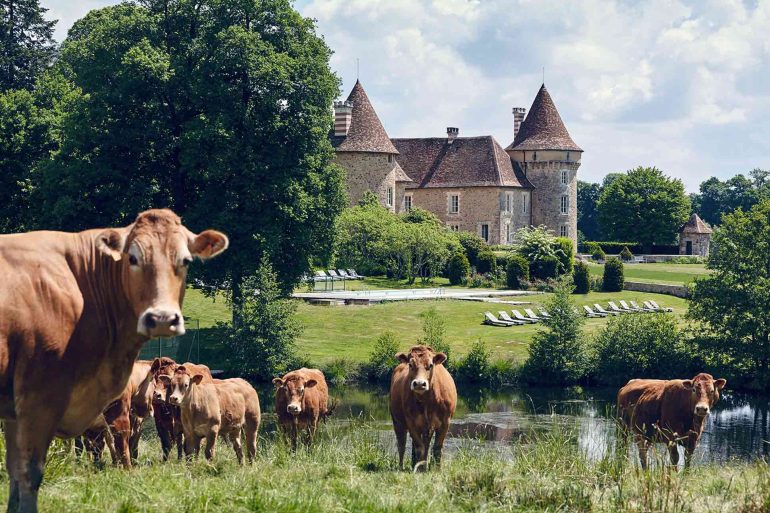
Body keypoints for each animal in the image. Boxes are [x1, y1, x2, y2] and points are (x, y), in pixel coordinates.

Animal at [0, 208, 228, 513]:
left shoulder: (15, 409)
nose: (162, 318)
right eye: (132, 258)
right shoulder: (40, 397)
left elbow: (16, 472)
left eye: (186, 260)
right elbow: (30, 472)